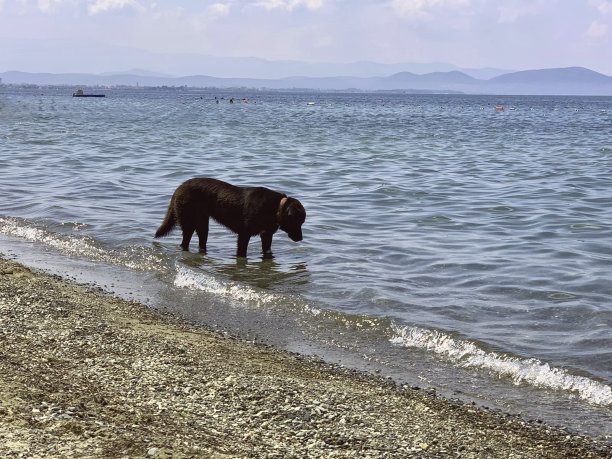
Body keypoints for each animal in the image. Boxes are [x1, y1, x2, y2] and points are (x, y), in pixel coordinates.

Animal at [154, 177, 304, 256]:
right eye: (297, 222)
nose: (301, 239)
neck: (275, 208)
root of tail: (180, 187)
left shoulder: (266, 235)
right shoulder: (244, 234)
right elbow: (242, 251)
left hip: (202, 223)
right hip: (188, 221)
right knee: (185, 241)